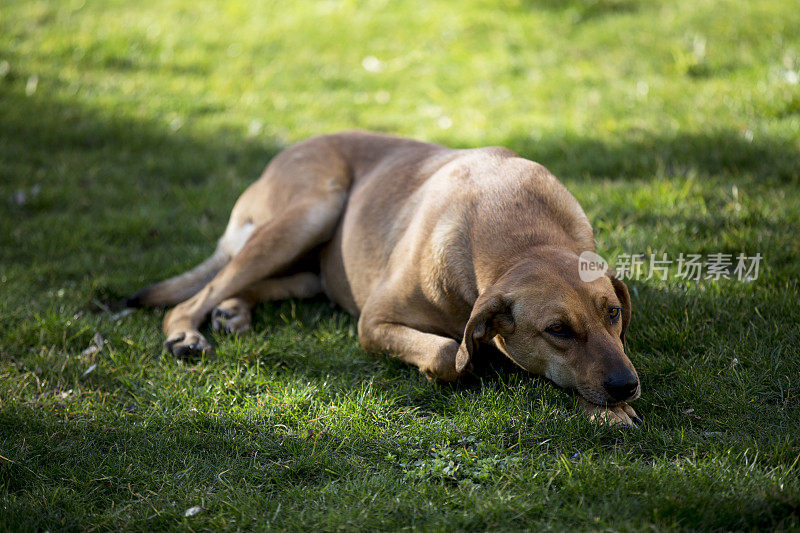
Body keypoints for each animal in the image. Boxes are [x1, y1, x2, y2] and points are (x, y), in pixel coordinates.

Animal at [131, 131, 644, 426]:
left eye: (613, 314)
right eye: (557, 330)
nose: (626, 386)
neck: (522, 236)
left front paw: (609, 410)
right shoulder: (374, 322)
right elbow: (446, 353)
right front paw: (467, 362)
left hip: (311, 265)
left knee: (257, 285)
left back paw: (234, 311)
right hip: (312, 210)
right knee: (197, 294)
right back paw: (186, 333)